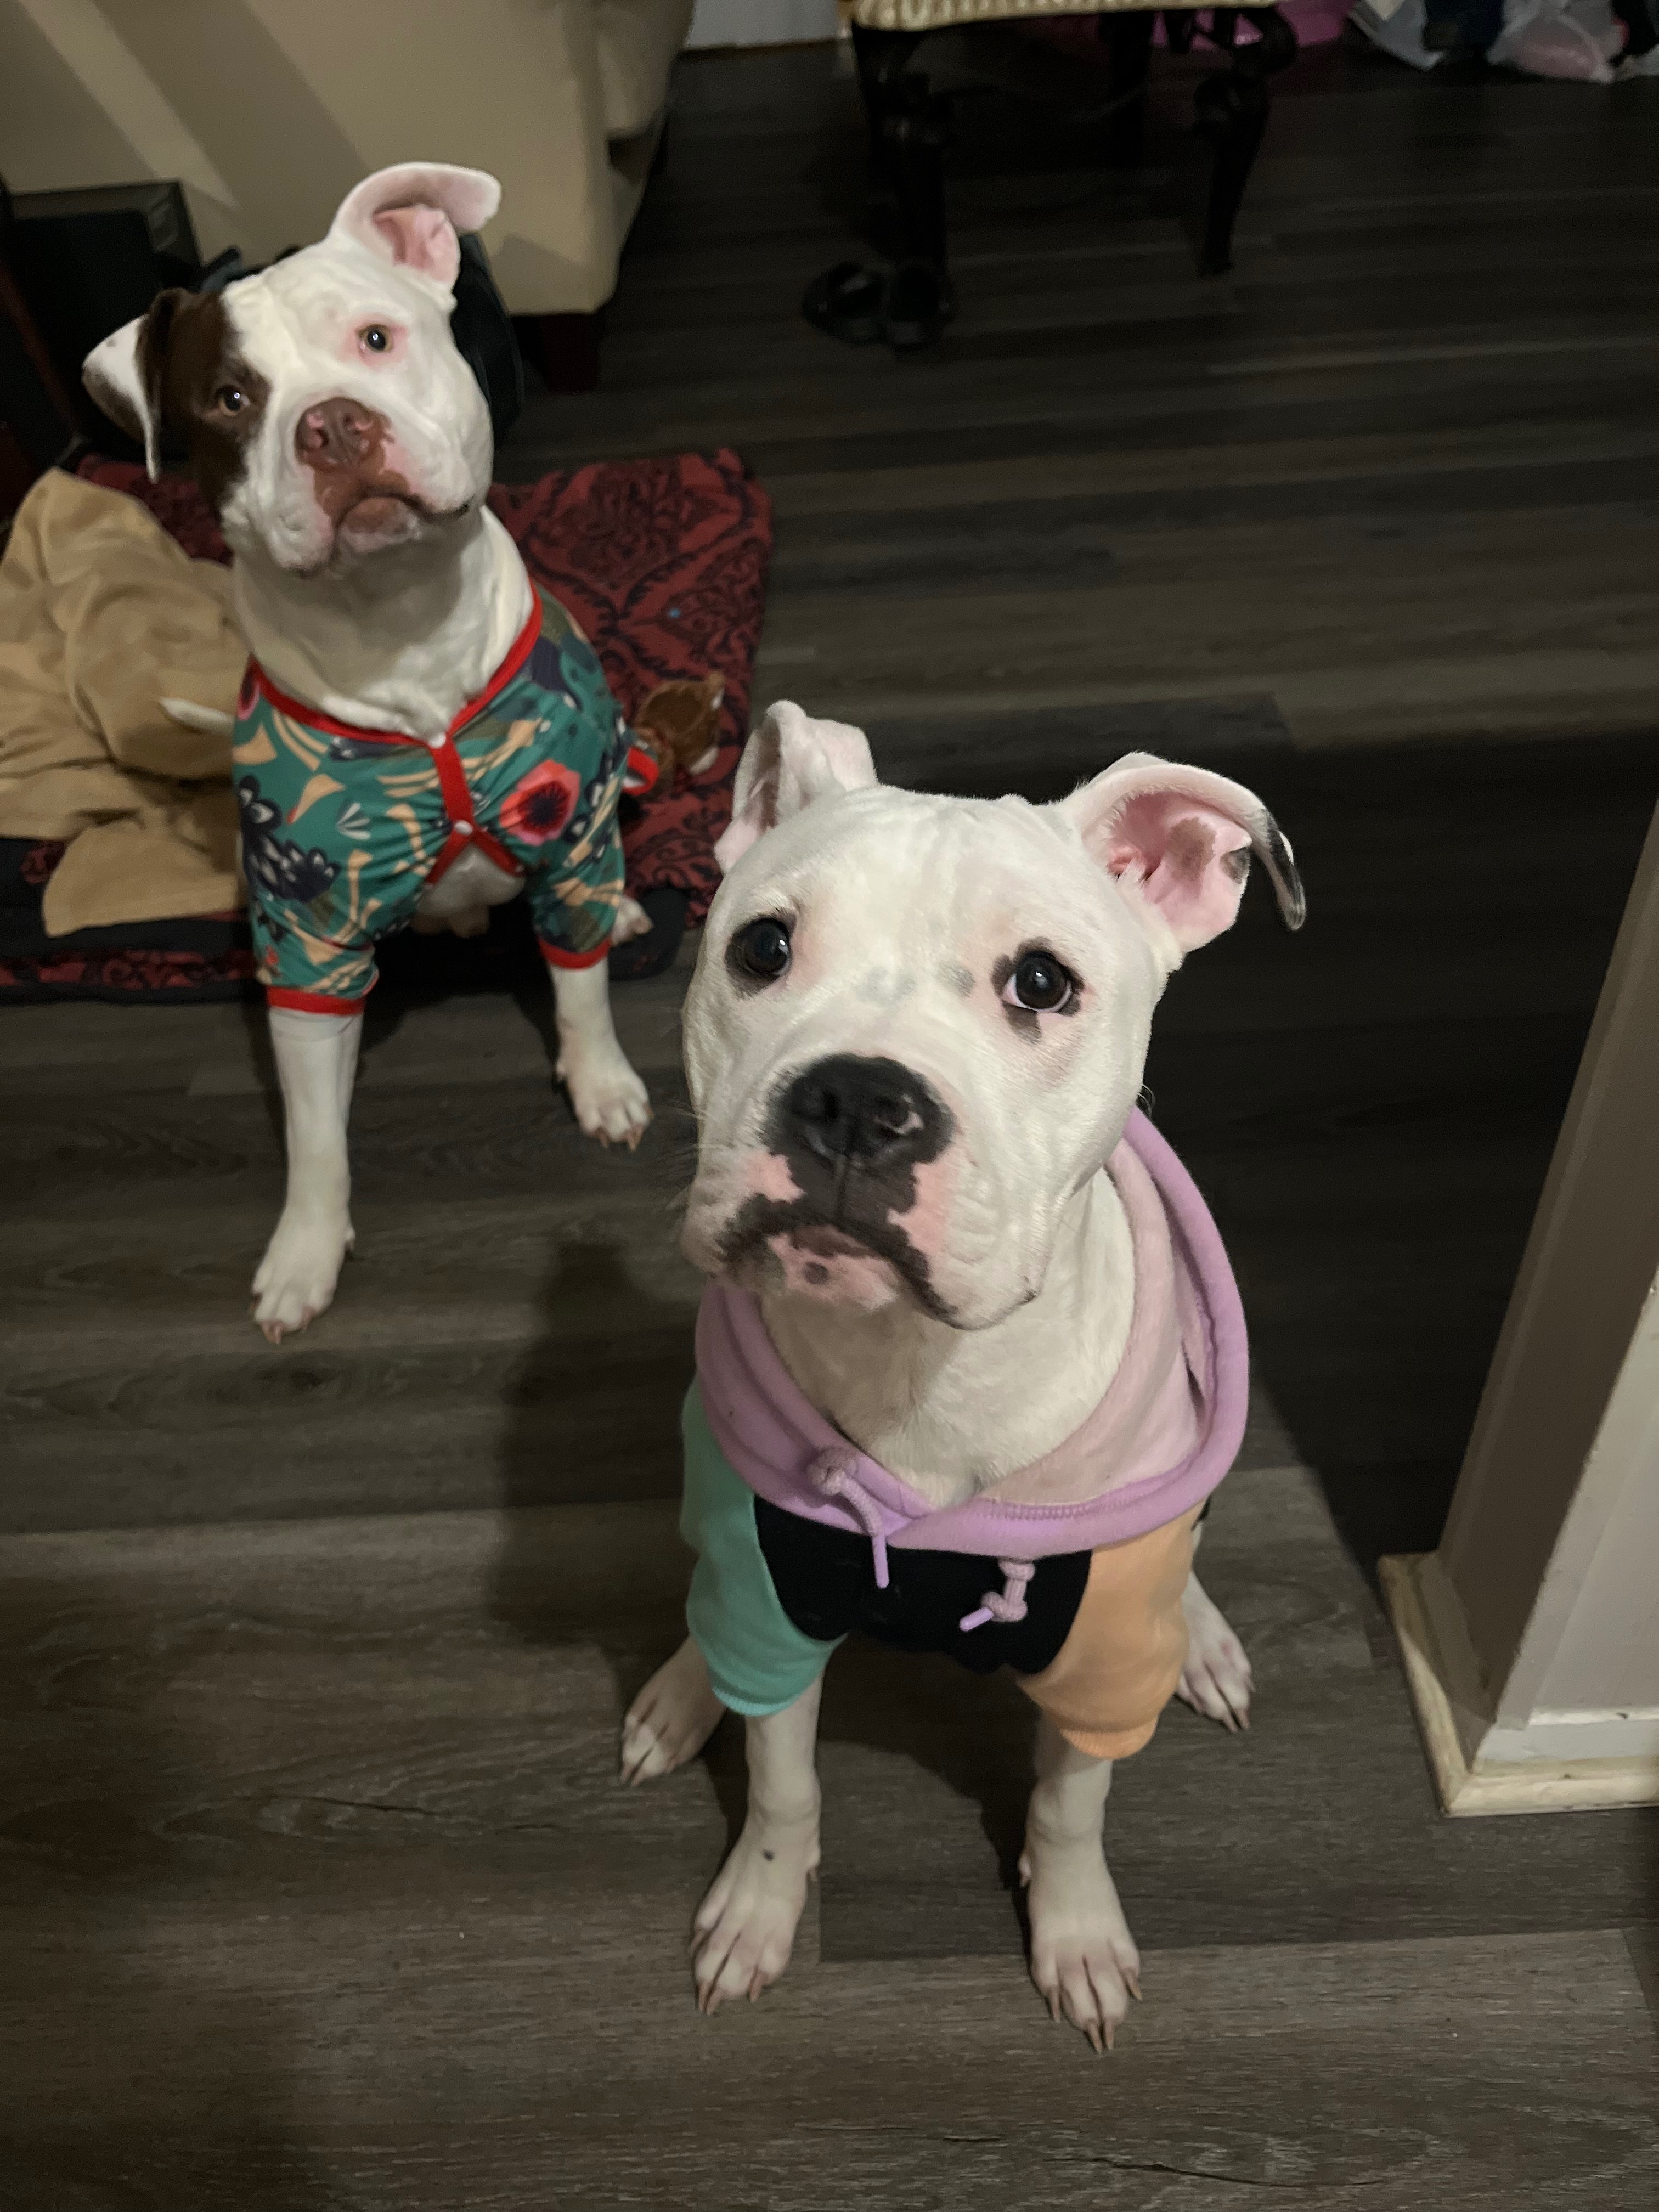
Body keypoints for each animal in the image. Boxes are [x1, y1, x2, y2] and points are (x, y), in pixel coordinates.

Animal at [83, 164, 667, 1341]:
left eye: (375, 339)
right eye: (231, 401)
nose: (332, 427)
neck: (404, 638)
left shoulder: (568, 839)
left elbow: (579, 991)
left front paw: (601, 1083)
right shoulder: (309, 947)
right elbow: (313, 1128)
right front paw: (305, 1248)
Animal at [620, 702, 1304, 2047]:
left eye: (1041, 983)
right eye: (762, 947)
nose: (854, 1098)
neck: (918, 1372)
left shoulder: (1098, 1664)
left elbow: (1069, 1808)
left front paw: (1076, 1931)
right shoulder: (771, 1597)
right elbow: (781, 1790)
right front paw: (759, 1910)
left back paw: (1200, 1640)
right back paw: (680, 1690)